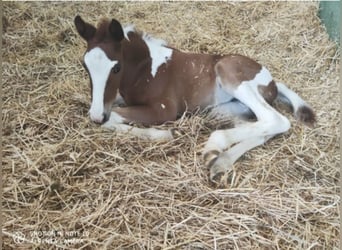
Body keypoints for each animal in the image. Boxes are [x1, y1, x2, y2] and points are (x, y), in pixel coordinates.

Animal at [74, 16, 316, 184]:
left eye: (116, 67)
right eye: (85, 66)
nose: (96, 115)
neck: (146, 70)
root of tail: (272, 81)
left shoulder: (163, 109)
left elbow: (113, 118)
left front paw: (164, 135)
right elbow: (111, 113)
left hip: (229, 74)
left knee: (276, 120)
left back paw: (214, 146)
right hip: (228, 110)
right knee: (263, 127)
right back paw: (220, 161)